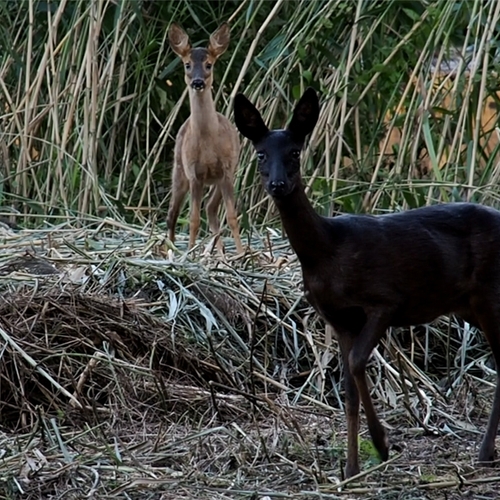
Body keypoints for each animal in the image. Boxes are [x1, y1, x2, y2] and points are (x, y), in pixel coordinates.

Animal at [167, 22, 243, 254]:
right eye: (187, 65)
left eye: (209, 64)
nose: (198, 82)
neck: (208, 144)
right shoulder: (194, 173)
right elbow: (193, 219)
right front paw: (190, 253)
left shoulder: (227, 170)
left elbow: (232, 216)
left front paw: (242, 253)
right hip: (179, 168)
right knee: (172, 213)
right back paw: (170, 250)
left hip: (225, 174)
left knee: (210, 208)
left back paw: (220, 253)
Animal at [234, 88, 500, 478]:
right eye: (261, 154)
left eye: (295, 152)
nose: (277, 184)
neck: (327, 251)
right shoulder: (338, 318)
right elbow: (348, 388)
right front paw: (351, 467)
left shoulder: (385, 300)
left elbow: (359, 362)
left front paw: (381, 443)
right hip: (469, 305)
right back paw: (485, 452)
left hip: (490, 294)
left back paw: (484, 452)